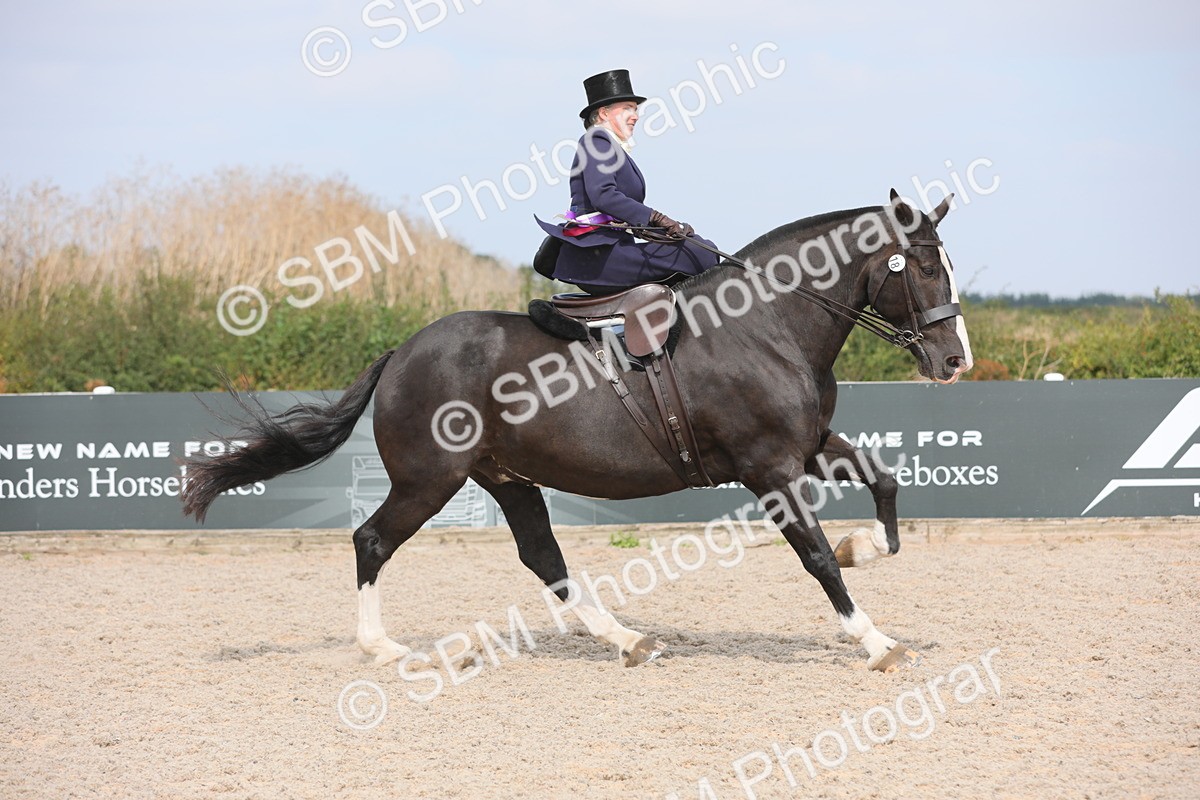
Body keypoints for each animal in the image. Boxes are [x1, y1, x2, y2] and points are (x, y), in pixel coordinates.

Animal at [181, 189, 973, 673]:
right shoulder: (769, 467)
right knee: (373, 540)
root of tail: (403, 351)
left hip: (506, 478)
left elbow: (885, 486)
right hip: (430, 479)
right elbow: (815, 558)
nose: (954, 361)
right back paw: (389, 649)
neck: (766, 324)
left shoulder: (806, 450)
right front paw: (875, 639)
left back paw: (627, 638)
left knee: (543, 558)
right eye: (920, 266)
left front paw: (865, 547)